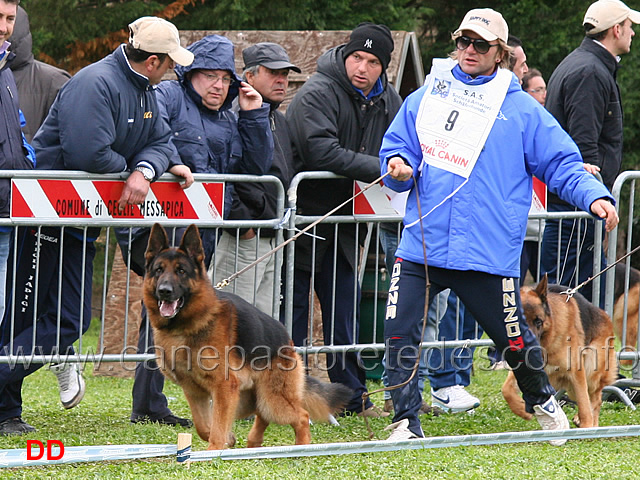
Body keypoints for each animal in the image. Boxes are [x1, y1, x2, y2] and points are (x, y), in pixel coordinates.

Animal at [142, 223, 350, 448]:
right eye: (159, 270)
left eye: (181, 271)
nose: (164, 291)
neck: (188, 324)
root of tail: (287, 339)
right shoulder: (194, 391)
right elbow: (204, 428)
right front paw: (227, 440)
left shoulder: (223, 387)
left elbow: (216, 430)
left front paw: (215, 448)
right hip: (249, 400)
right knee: (262, 415)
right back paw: (254, 443)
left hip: (270, 400)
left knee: (300, 416)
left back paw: (301, 448)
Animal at [502, 274, 616, 428]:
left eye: (538, 322)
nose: (529, 349)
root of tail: (605, 315)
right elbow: (506, 389)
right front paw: (521, 409)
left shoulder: (576, 372)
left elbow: (584, 405)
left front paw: (586, 428)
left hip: (590, 370)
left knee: (595, 399)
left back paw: (592, 424)